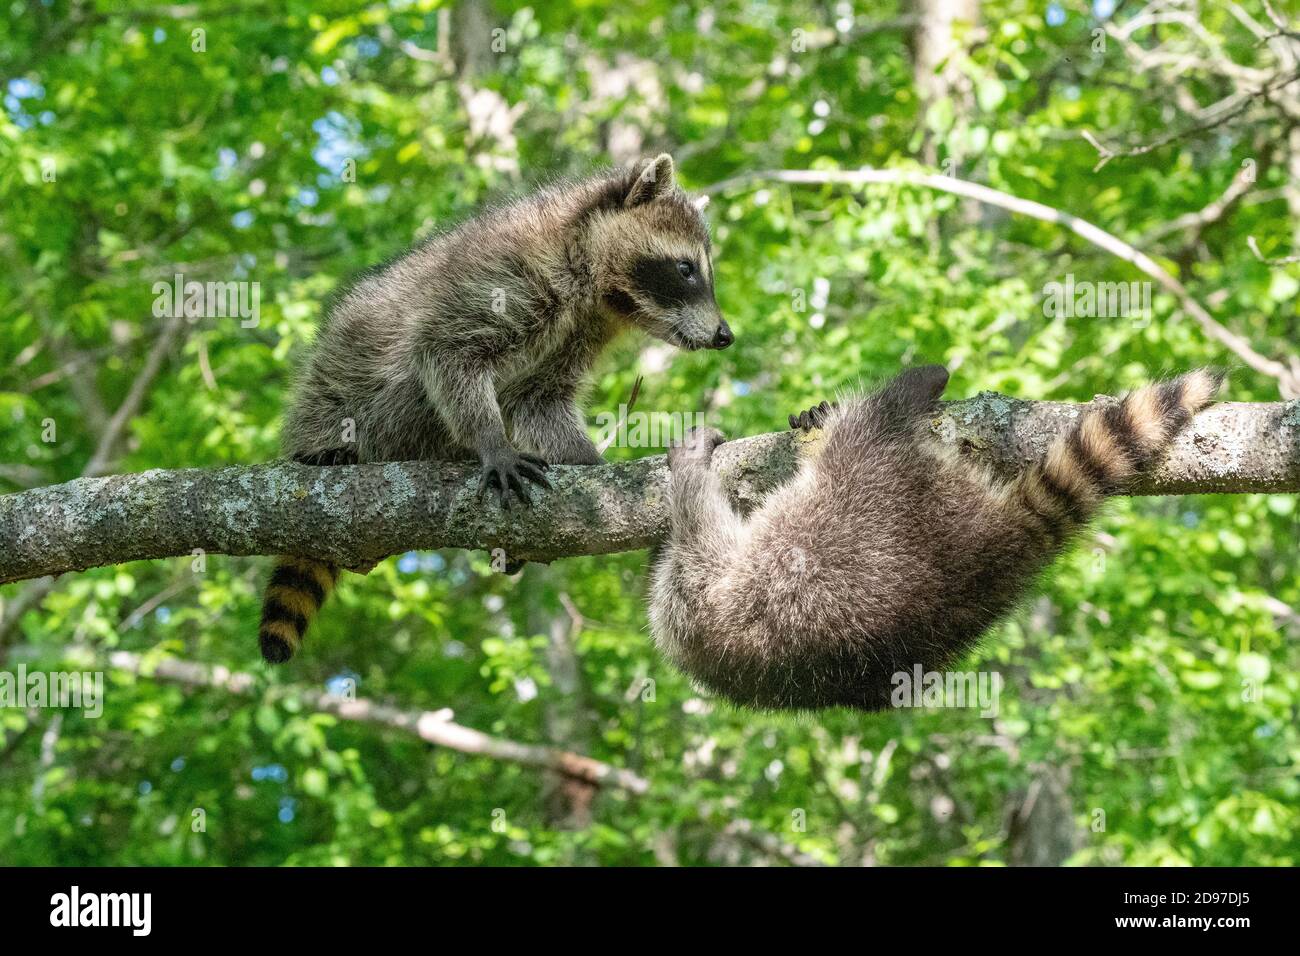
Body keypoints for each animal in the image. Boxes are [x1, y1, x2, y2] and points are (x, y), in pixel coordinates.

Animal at [259, 154, 729, 664]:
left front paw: (587, 461)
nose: (726, 336)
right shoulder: (505, 275)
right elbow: (445, 353)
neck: (596, 285)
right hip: (333, 383)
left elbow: (539, 401)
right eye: (686, 269)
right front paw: (492, 440)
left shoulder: (577, 330)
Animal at [649, 365, 1223, 711]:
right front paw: (689, 474)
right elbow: (698, 531)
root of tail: (989, 545)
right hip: (867, 507)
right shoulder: (702, 594)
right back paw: (907, 390)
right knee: (867, 431)